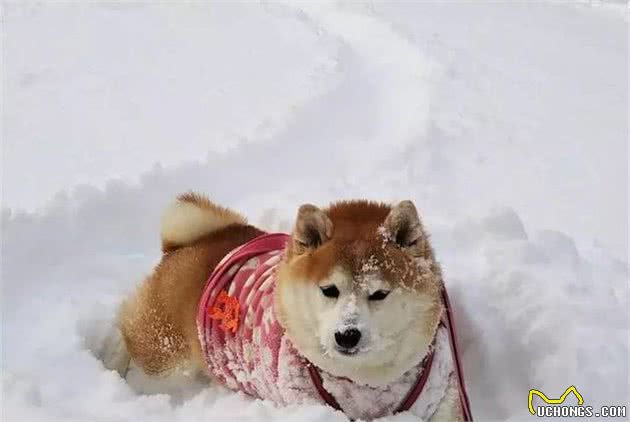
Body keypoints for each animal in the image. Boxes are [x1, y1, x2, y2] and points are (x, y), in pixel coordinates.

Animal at [101, 193, 472, 420]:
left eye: (380, 293)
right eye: (329, 290)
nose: (347, 335)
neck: (366, 383)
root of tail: (193, 242)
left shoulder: (441, 398)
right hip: (165, 351)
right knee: (130, 333)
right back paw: (111, 365)